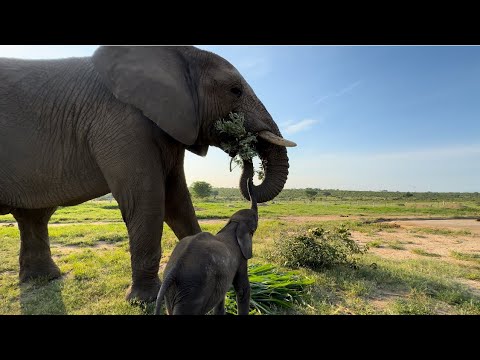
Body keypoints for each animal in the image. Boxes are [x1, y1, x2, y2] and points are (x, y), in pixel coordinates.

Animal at [0, 46, 296, 302]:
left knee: (34, 216)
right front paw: (145, 300)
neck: (177, 55)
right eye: (235, 90)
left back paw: (42, 280)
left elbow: (178, 201)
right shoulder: (120, 121)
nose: (245, 155)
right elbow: (148, 201)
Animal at [156, 178, 256, 316]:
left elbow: (221, 296)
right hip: (193, 290)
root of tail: (172, 272)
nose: (250, 180)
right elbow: (242, 290)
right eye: (255, 222)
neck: (233, 225)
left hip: (174, 292)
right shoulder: (241, 258)